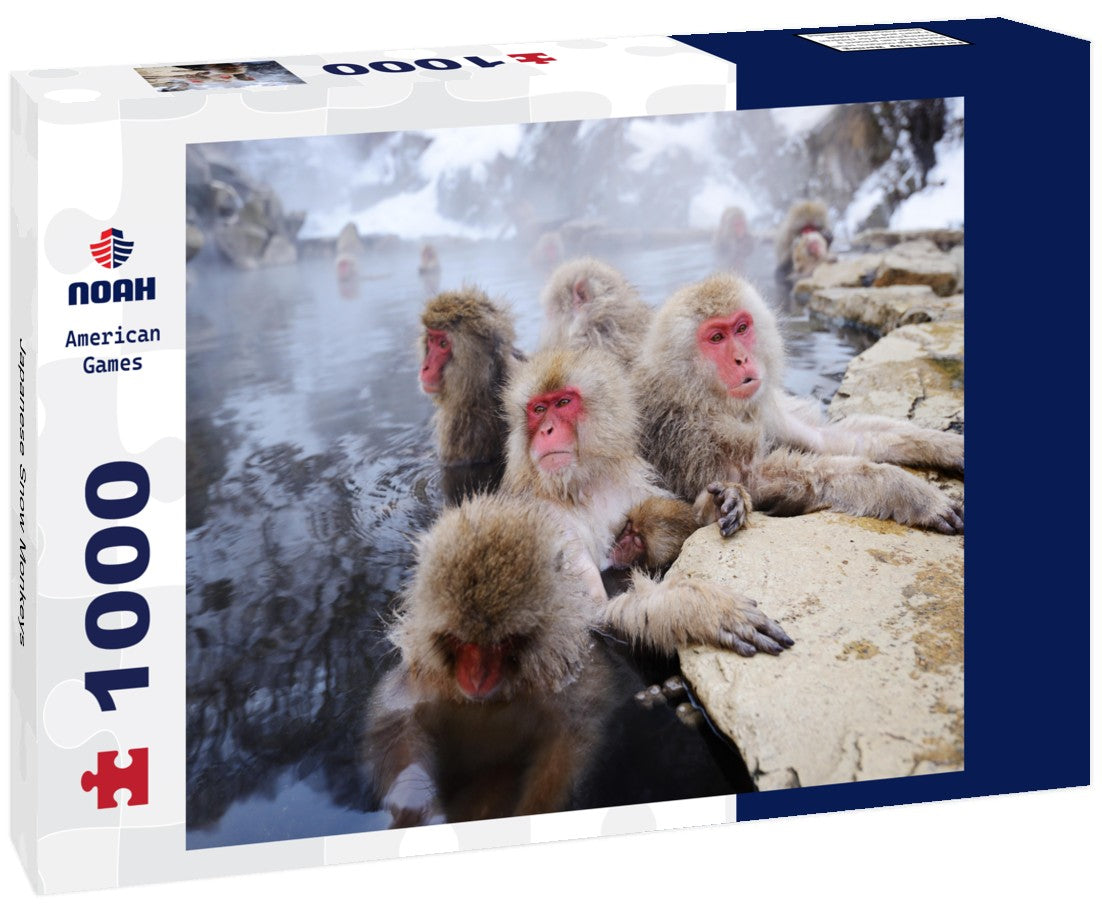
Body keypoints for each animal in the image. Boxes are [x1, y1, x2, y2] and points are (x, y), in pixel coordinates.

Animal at [363, 493, 614, 827]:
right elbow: (394, 719)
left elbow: (570, 740)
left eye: (502, 642)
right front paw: (413, 802)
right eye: (460, 640)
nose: (476, 679)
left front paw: (532, 811)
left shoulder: (573, 677)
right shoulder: (426, 677)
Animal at [501, 347, 794, 654]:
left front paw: (724, 500)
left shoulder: (633, 484)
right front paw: (697, 609)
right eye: (538, 409)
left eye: (563, 402)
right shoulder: (546, 518)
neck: (582, 485)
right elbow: (590, 614)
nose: (546, 430)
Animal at [633, 274, 965, 535]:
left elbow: (830, 438)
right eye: (716, 337)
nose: (742, 359)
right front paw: (910, 493)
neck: (700, 393)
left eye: (741, 328)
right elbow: (758, 479)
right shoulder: (688, 431)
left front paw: (948, 446)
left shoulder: (764, 408)